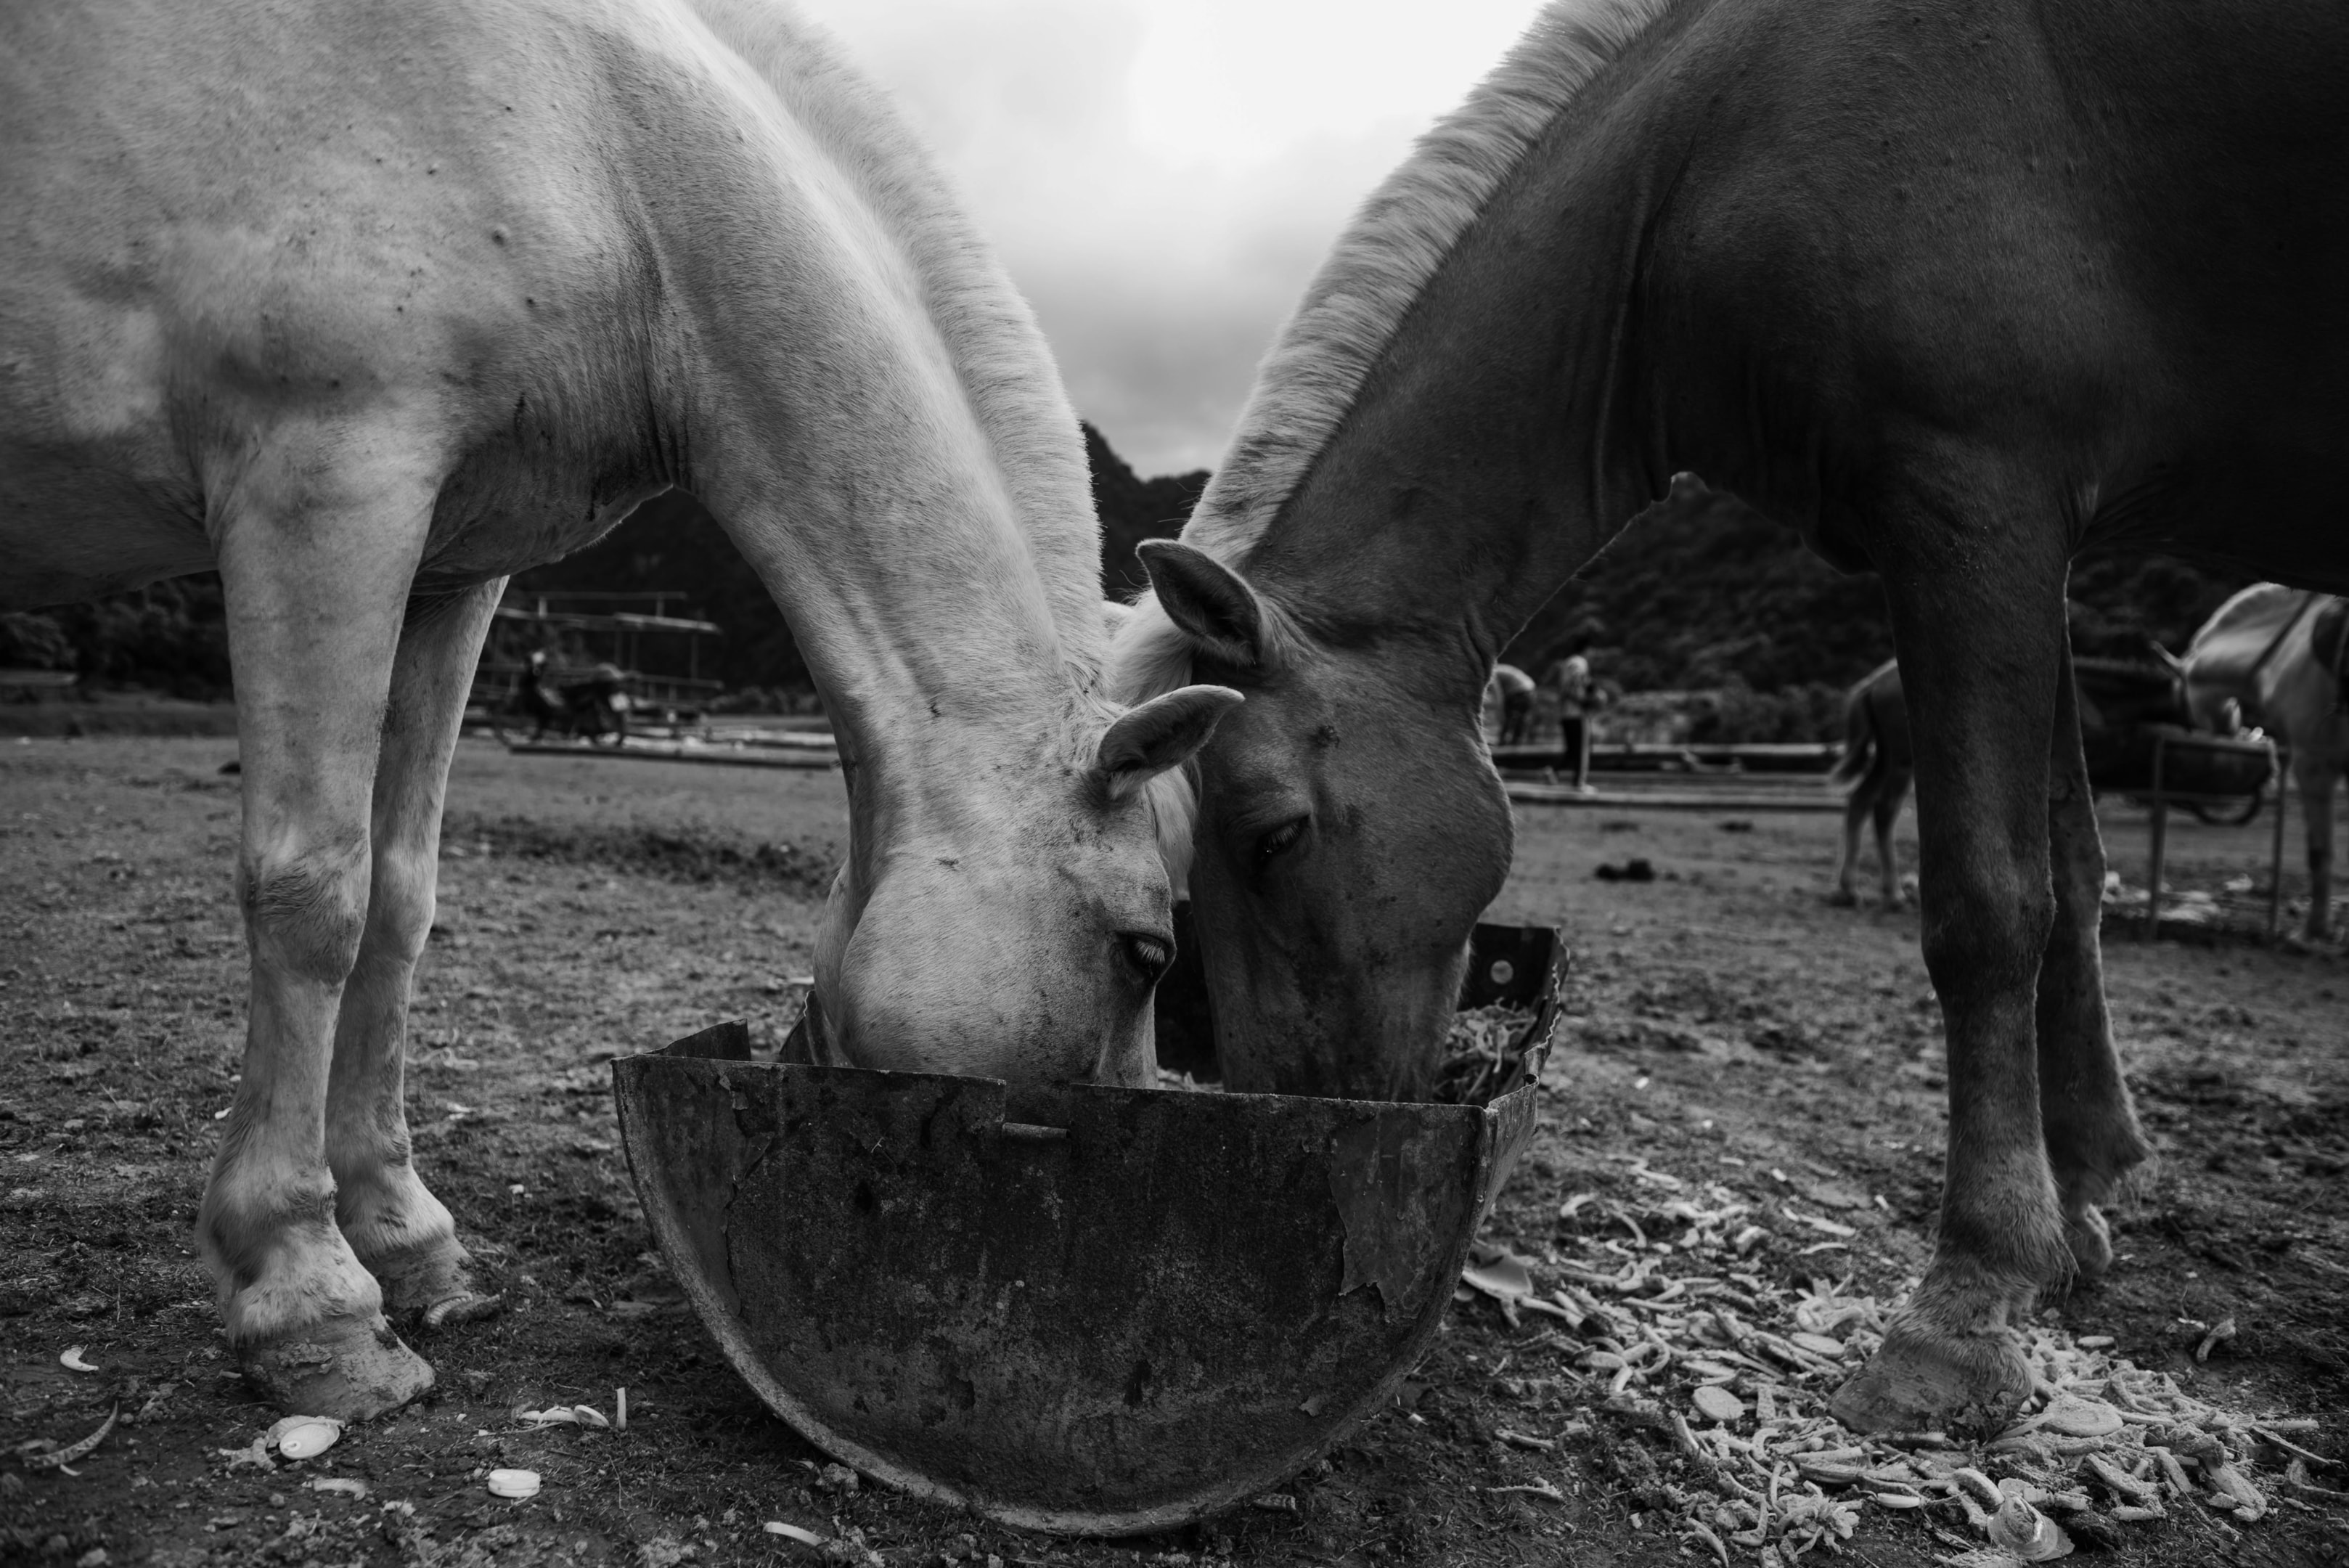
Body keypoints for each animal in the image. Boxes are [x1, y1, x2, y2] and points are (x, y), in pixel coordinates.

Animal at [4, 0, 1249, 1419]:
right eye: (1148, 952)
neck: (603, 151)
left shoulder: (450, 567)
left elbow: (400, 898)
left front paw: (410, 1243)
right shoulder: (324, 484)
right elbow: (314, 895)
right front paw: (308, 1298)